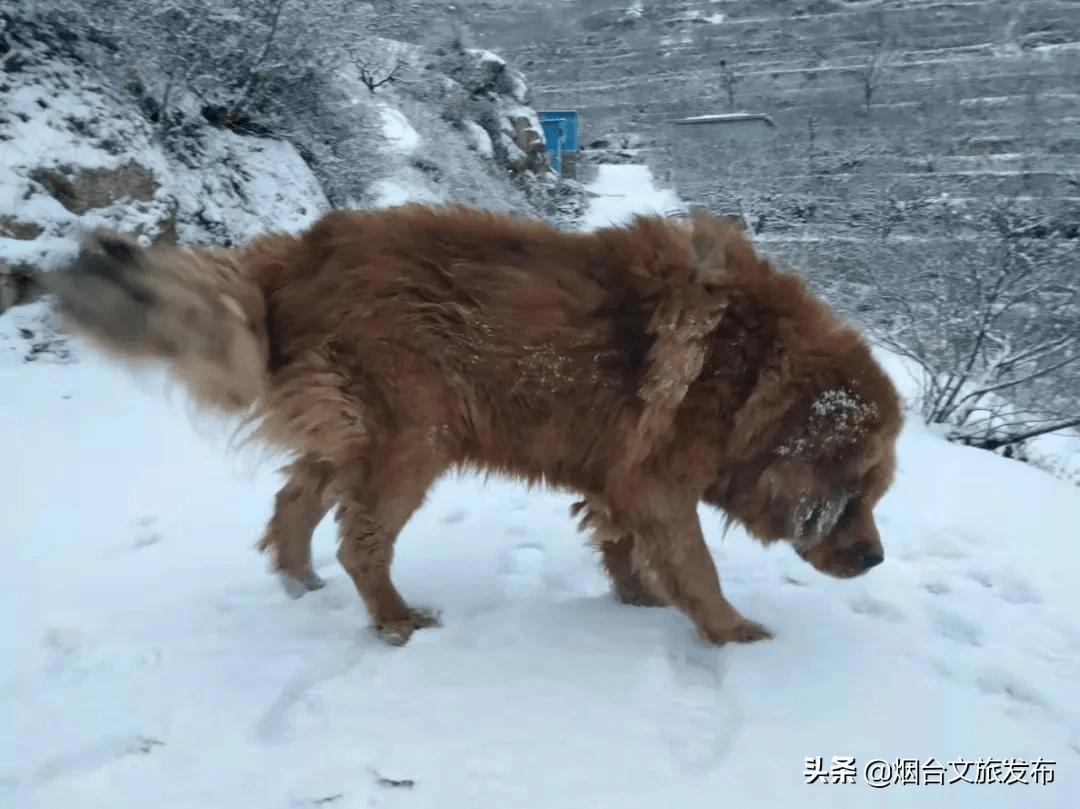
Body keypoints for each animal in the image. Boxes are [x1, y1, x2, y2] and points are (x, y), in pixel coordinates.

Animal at [42, 205, 902, 648]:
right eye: (858, 487)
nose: (874, 558)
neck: (755, 372)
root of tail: (297, 253)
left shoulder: (622, 477)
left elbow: (626, 547)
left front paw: (639, 598)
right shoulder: (658, 484)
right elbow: (699, 565)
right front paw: (732, 631)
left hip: (362, 433)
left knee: (296, 501)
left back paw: (298, 582)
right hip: (413, 437)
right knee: (360, 541)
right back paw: (394, 617)